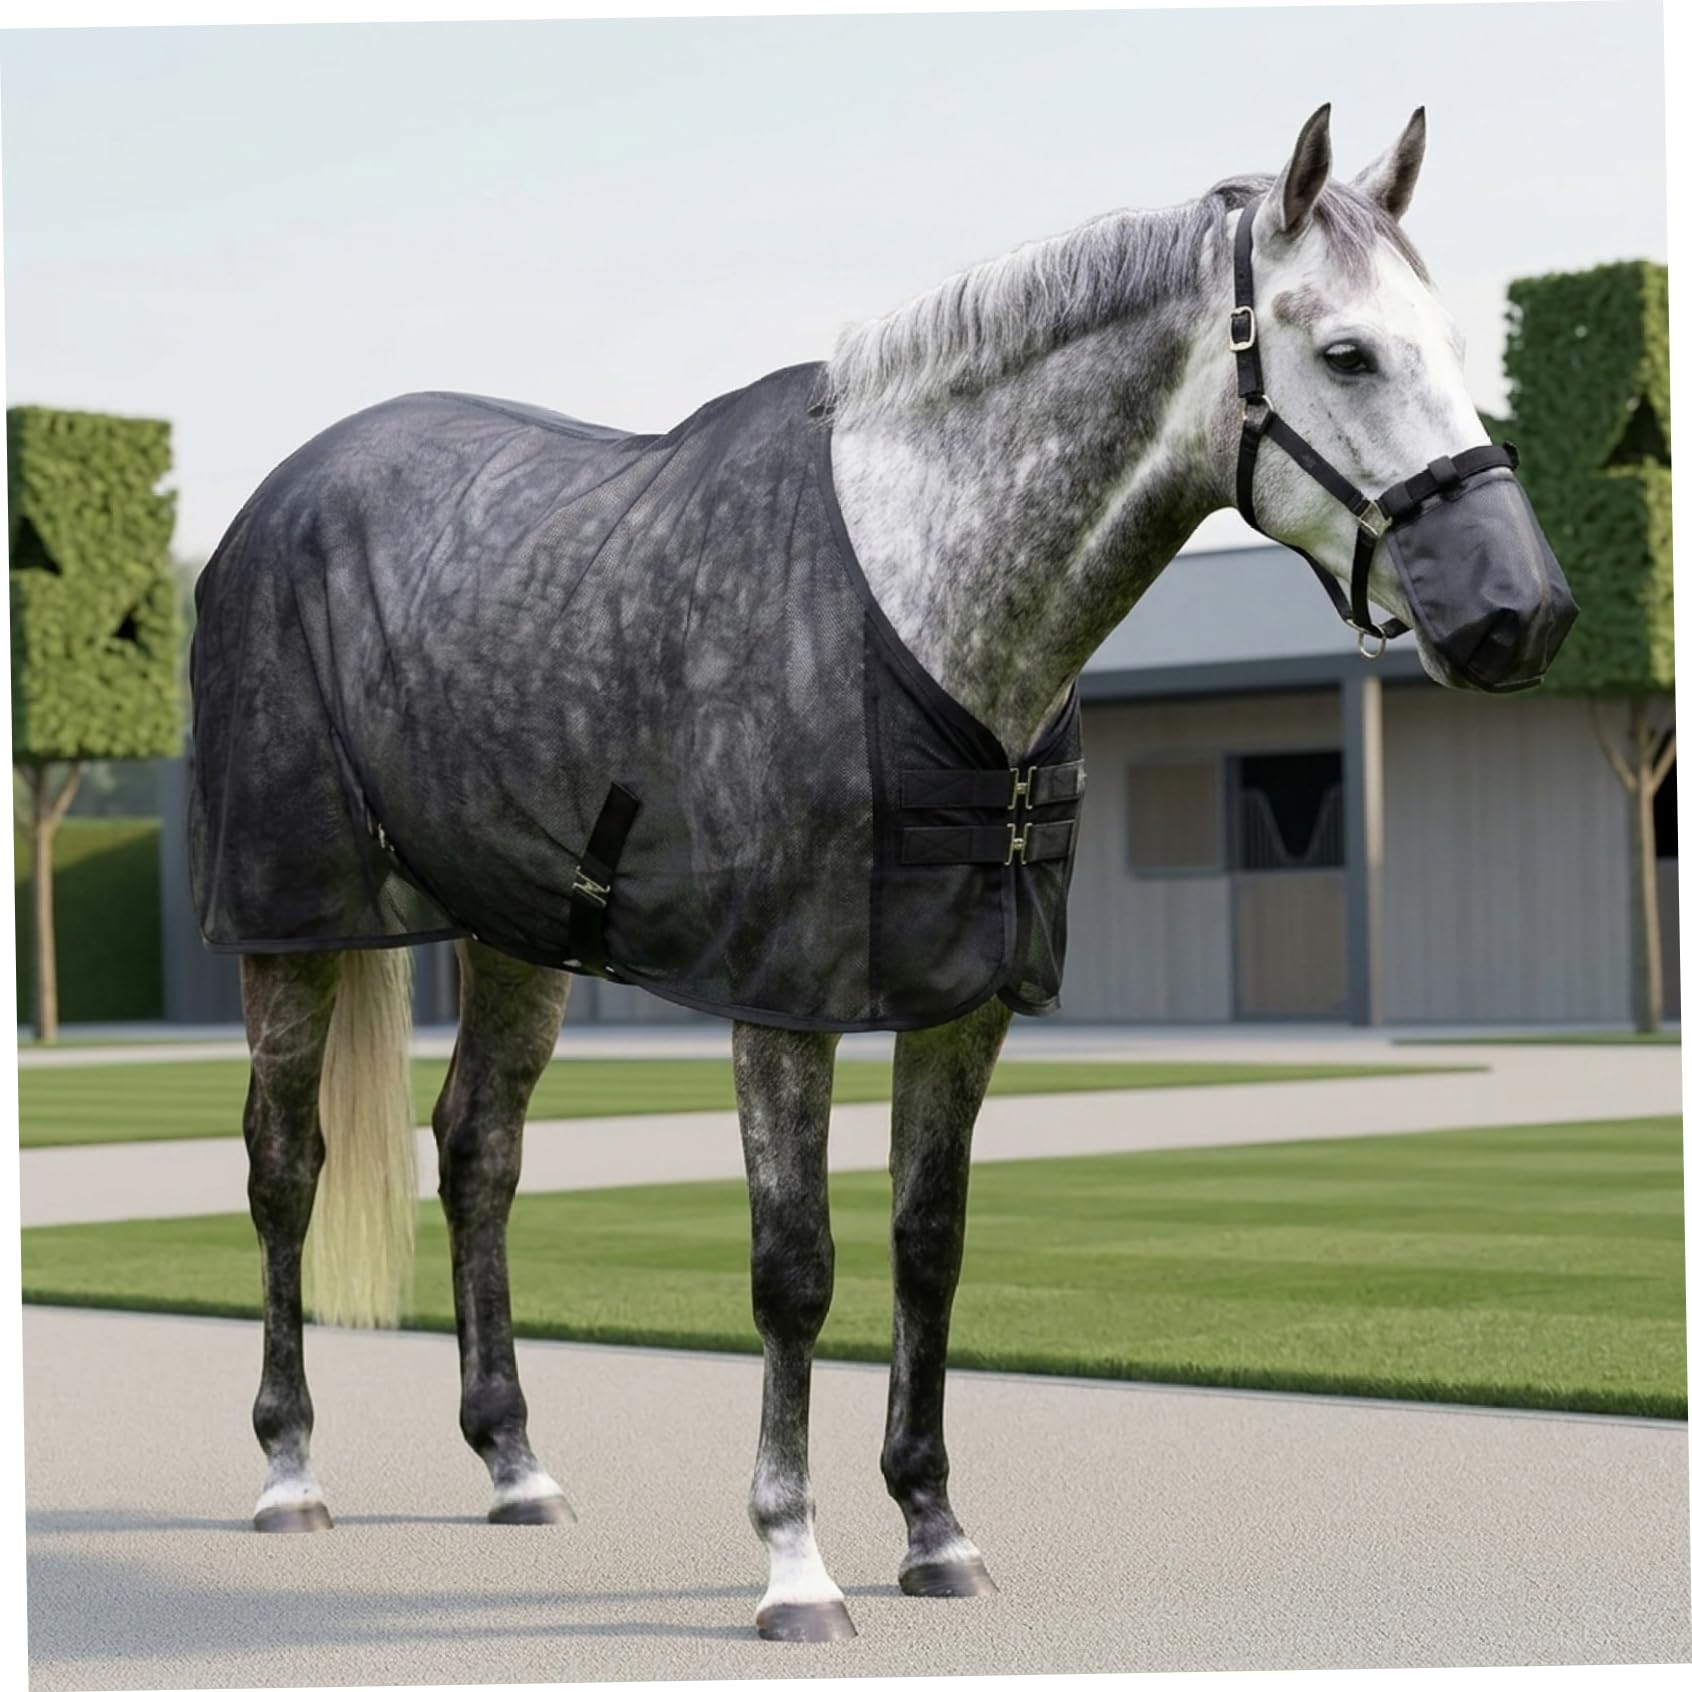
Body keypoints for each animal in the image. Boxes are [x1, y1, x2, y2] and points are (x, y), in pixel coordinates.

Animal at [189, 105, 1575, 1645]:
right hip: (291, 923)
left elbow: (929, 1246)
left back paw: (514, 1464)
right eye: (1345, 353)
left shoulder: (966, 999)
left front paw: (935, 1532)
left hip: (516, 932)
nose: (1522, 611)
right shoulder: (784, 1002)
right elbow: (795, 1271)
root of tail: (281, 496)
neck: (922, 604)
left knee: (478, 1151)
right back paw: (289, 1470)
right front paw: (795, 1565)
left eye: (1448, 341)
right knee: (283, 1167)